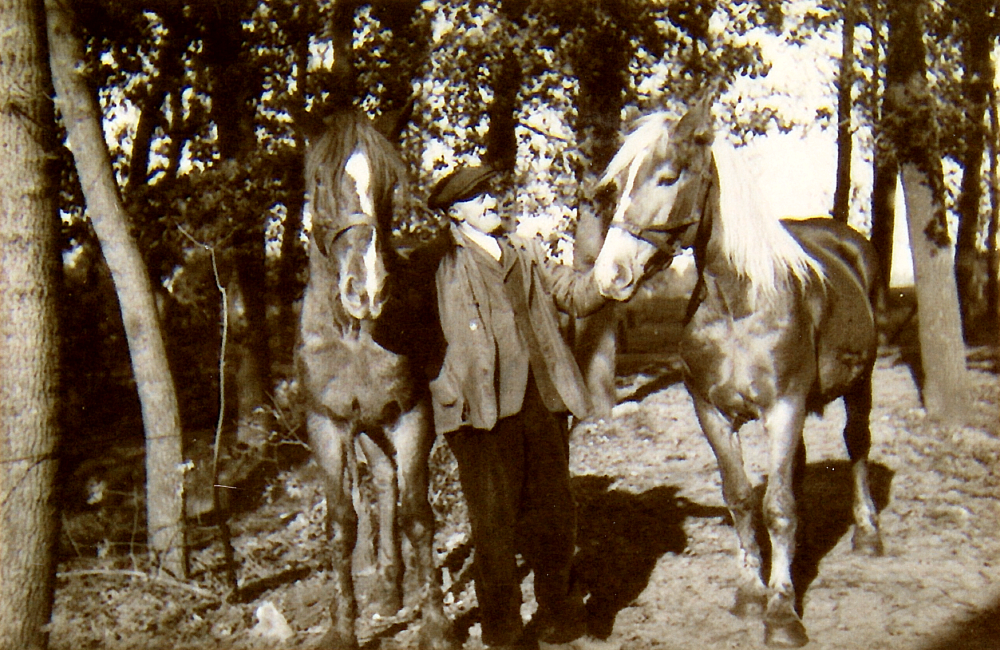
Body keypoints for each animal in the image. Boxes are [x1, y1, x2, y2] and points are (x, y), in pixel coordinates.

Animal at [296, 111, 450, 648]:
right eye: (321, 181)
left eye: (387, 187)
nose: (367, 289)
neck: (353, 336)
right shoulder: (328, 425)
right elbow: (342, 525)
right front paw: (343, 628)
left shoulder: (411, 416)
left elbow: (418, 516)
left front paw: (437, 625)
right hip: (367, 429)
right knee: (383, 481)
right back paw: (388, 587)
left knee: (392, 487)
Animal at [592, 98, 884, 644]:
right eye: (619, 185)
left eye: (668, 176)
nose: (610, 275)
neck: (738, 306)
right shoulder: (712, 412)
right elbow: (744, 499)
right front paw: (752, 593)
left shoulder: (784, 407)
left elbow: (778, 507)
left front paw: (782, 612)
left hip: (860, 384)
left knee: (857, 446)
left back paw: (868, 533)